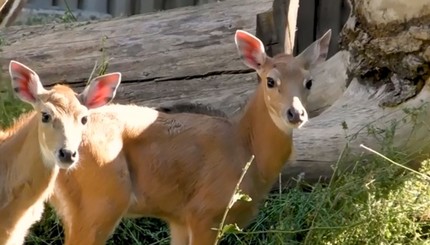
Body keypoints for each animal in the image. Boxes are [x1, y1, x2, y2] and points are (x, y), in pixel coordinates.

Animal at [51, 29, 332, 245]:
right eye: (270, 81)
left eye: (309, 82)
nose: (296, 113)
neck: (244, 147)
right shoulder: (204, 211)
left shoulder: (179, 217)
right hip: (100, 201)